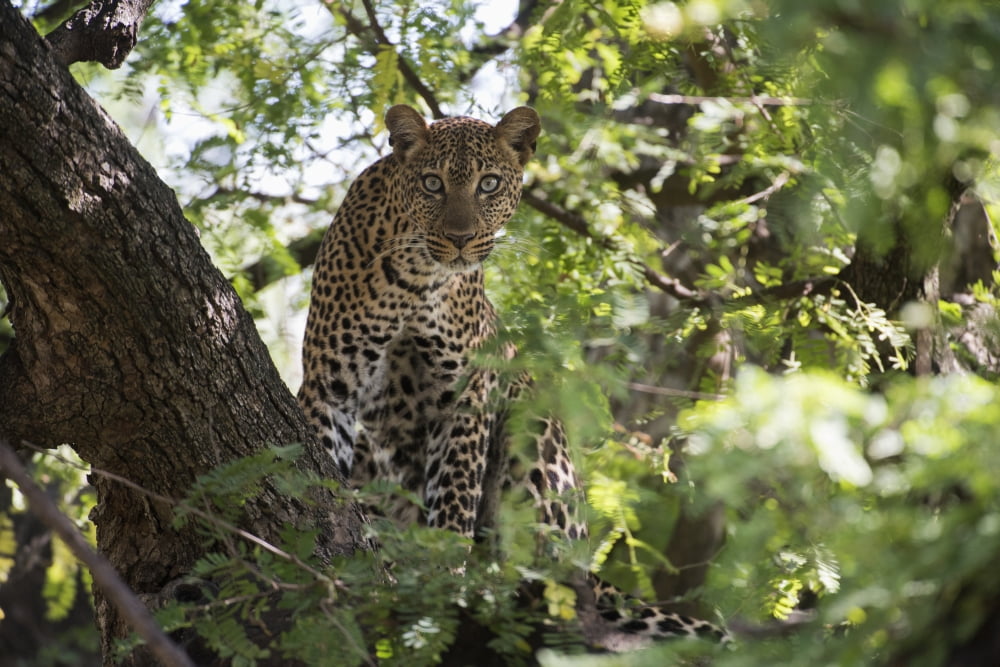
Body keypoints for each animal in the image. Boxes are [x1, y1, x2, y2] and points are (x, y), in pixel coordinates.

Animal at [297, 104, 727, 645]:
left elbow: (455, 500)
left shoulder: (464, 397)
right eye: (433, 183)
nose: (460, 239)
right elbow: (321, 473)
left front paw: (446, 581)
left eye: (489, 184)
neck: (418, 277)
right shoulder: (330, 384)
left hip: (535, 431)